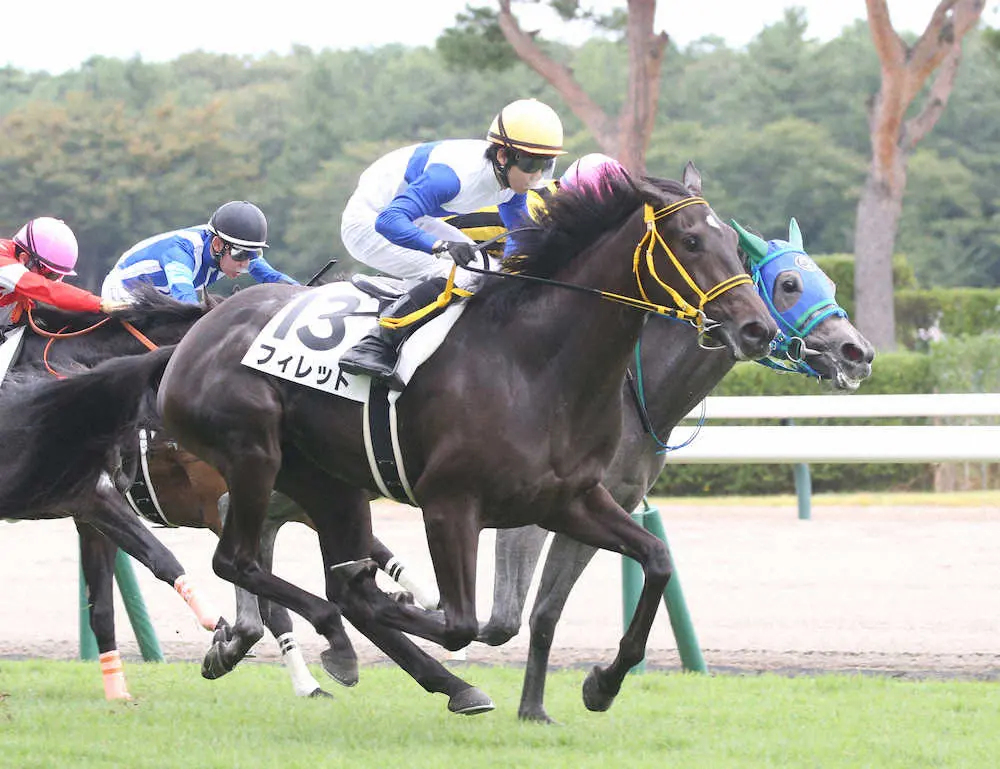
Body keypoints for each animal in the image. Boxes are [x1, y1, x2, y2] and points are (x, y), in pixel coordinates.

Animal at [0, 163, 779, 714]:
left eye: (734, 246)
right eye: (690, 242)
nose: (756, 328)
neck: (535, 362)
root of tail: (189, 339)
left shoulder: (570, 498)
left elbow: (655, 561)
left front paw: (602, 682)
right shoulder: (450, 502)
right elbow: (462, 619)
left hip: (328, 482)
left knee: (299, 567)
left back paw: (430, 675)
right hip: (253, 454)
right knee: (240, 561)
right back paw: (350, 638)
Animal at [476, 218, 876, 722]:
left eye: (831, 283)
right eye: (789, 284)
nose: (858, 352)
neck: (628, 391)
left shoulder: (599, 507)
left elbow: (544, 612)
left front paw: (547, 705)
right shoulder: (533, 507)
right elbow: (501, 620)